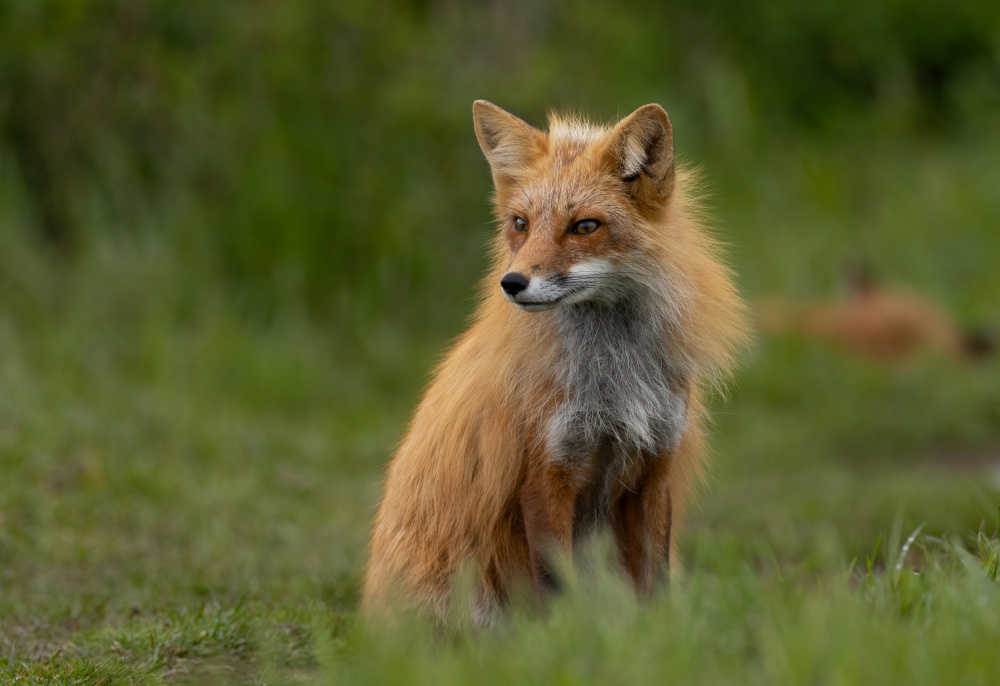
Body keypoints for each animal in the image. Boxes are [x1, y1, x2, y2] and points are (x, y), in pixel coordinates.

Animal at [362, 101, 749, 624]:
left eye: (584, 226)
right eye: (520, 223)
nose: (512, 283)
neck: (613, 380)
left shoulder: (653, 469)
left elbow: (657, 580)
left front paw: (662, 634)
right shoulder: (545, 475)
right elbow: (557, 588)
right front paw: (565, 639)